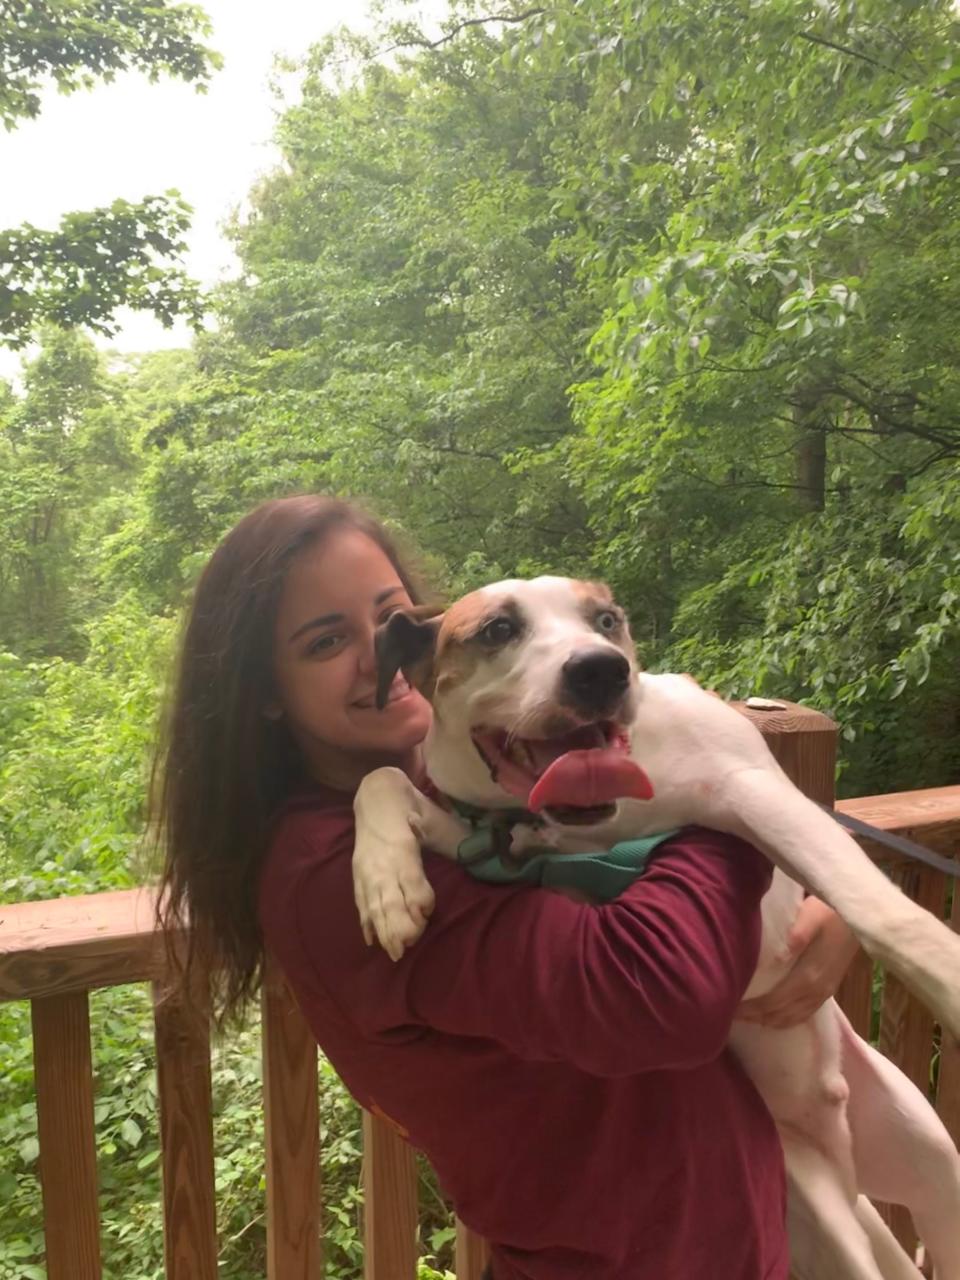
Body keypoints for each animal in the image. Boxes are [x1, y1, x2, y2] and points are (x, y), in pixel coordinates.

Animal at [350, 581, 960, 1280]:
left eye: (606, 621)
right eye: (498, 629)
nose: (600, 670)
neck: (608, 819)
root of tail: (845, 1155)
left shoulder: (755, 792)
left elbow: (875, 906)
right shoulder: (496, 840)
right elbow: (382, 778)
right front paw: (386, 881)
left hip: (933, 1161)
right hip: (821, 1213)